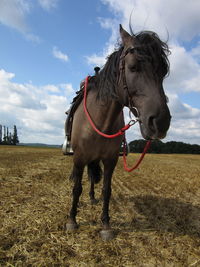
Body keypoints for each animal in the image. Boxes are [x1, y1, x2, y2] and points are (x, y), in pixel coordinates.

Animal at [65, 25, 170, 242]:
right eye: (133, 67)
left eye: (163, 72)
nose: (160, 122)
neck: (100, 119)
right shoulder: (79, 157)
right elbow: (76, 187)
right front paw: (72, 220)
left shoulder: (110, 159)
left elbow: (107, 190)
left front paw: (105, 224)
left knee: (92, 178)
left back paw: (92, 197)